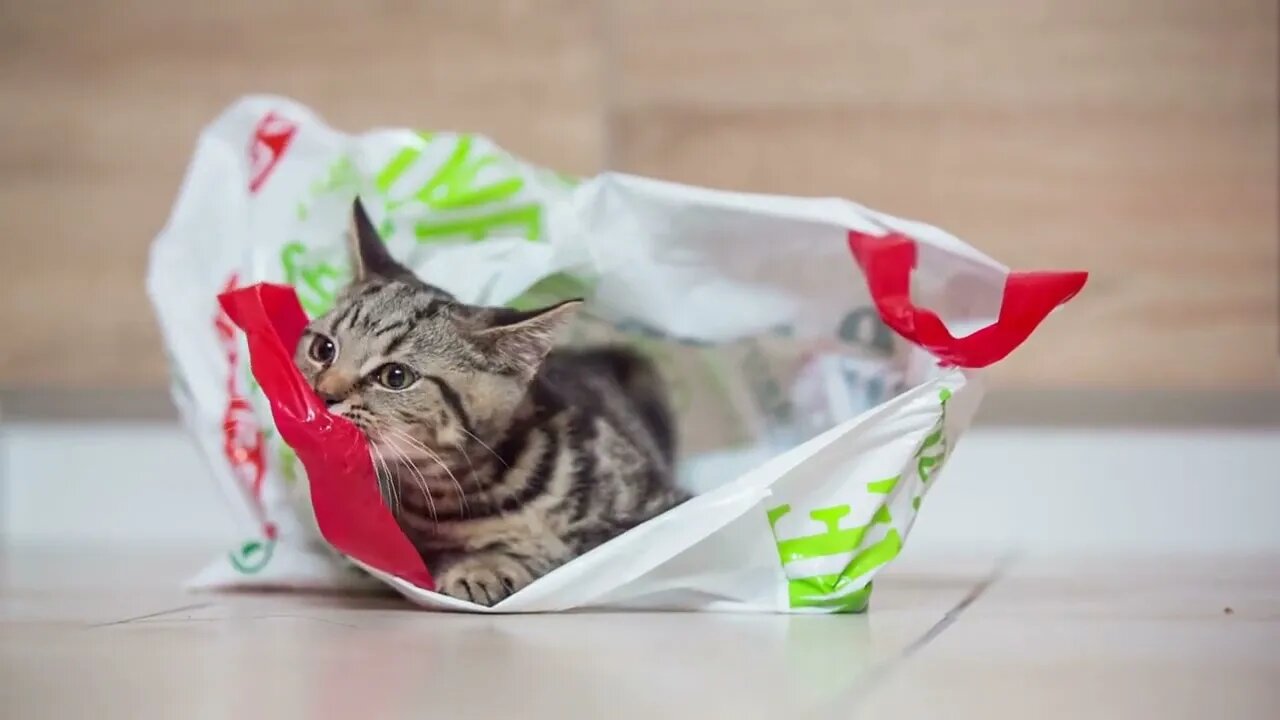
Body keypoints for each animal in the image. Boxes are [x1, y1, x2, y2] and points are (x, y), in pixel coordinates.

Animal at [295, 198, 691, 602]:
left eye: (395, 377)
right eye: (323, 349)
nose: (323, 394)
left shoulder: (652, 513)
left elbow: (567, 550)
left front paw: (485, 565)